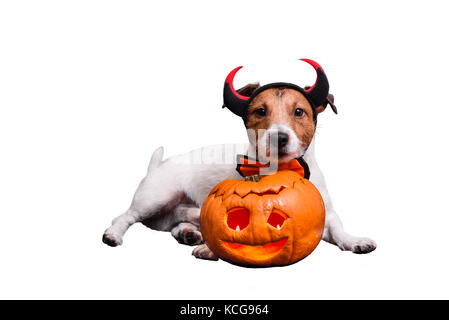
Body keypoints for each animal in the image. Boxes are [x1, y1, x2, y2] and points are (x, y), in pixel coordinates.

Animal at [101, 60, 374, 260]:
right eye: (260, 111)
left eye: (299, 112)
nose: (279, 137)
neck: (282, 169)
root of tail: (157, 165)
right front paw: (210, 249)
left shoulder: (324, 215)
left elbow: (337, 227)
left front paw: (354, 241)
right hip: (155, 197)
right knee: (126, 216)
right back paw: (114, 234)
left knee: (176, 219)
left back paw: (188, 232)